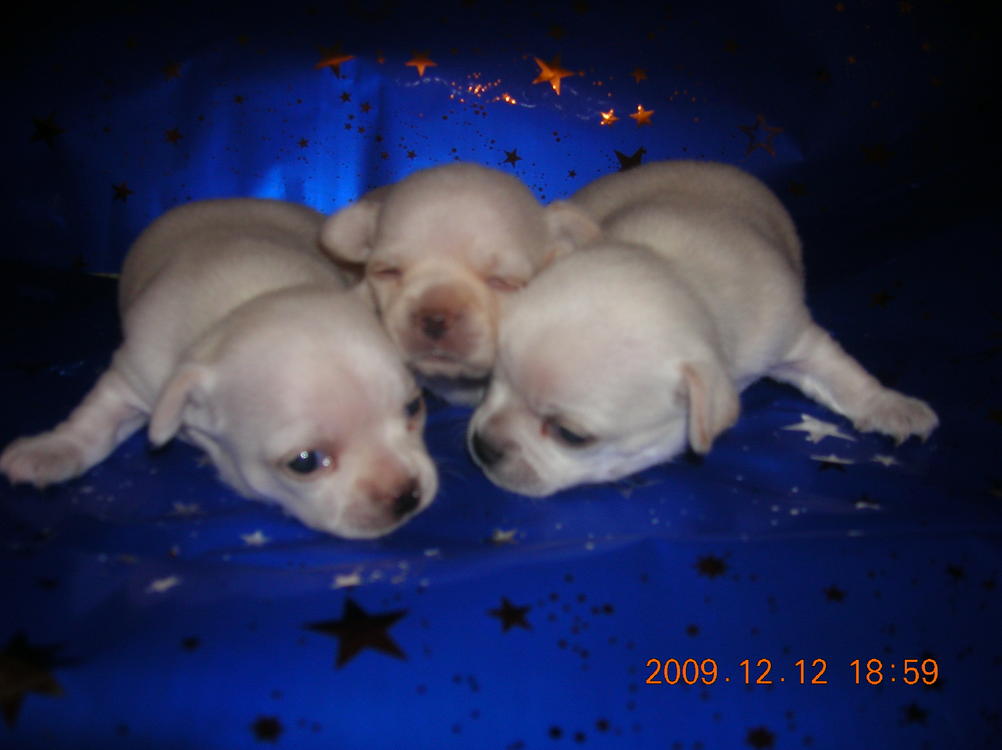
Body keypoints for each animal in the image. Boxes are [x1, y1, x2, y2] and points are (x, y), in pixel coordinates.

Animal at [0, 199, 438, 538]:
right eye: (305, 462)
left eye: (414, 408)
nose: (406, 495)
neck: (244, 305)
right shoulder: (133, 378)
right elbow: (94, 421)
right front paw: (50, 450)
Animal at [467, 160, 938, 497]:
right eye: (491, 380)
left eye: (571, 435)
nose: (482, 447)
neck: (682, 277)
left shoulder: (792, 337)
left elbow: (842, 375)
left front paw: (892, 405)